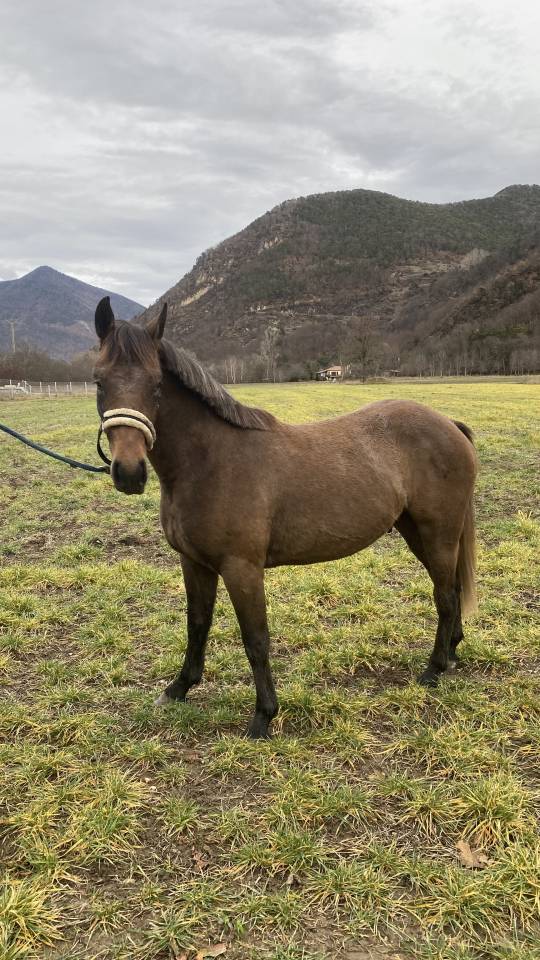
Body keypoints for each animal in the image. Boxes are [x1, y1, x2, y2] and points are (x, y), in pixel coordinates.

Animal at [93, 296, 478, 739]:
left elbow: (255, 639)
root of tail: (449, 424)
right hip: (417, 532)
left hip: (438, 533)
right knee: (450, 590)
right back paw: (451, 654)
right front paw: (180, 687)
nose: (129, 472)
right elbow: (197, 624)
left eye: (156, 385)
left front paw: (263, 716)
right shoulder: (194, 563)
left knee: (445, 596)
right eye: (99, 381)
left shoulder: (241, 568)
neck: (210, 461)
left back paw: (433, 670)